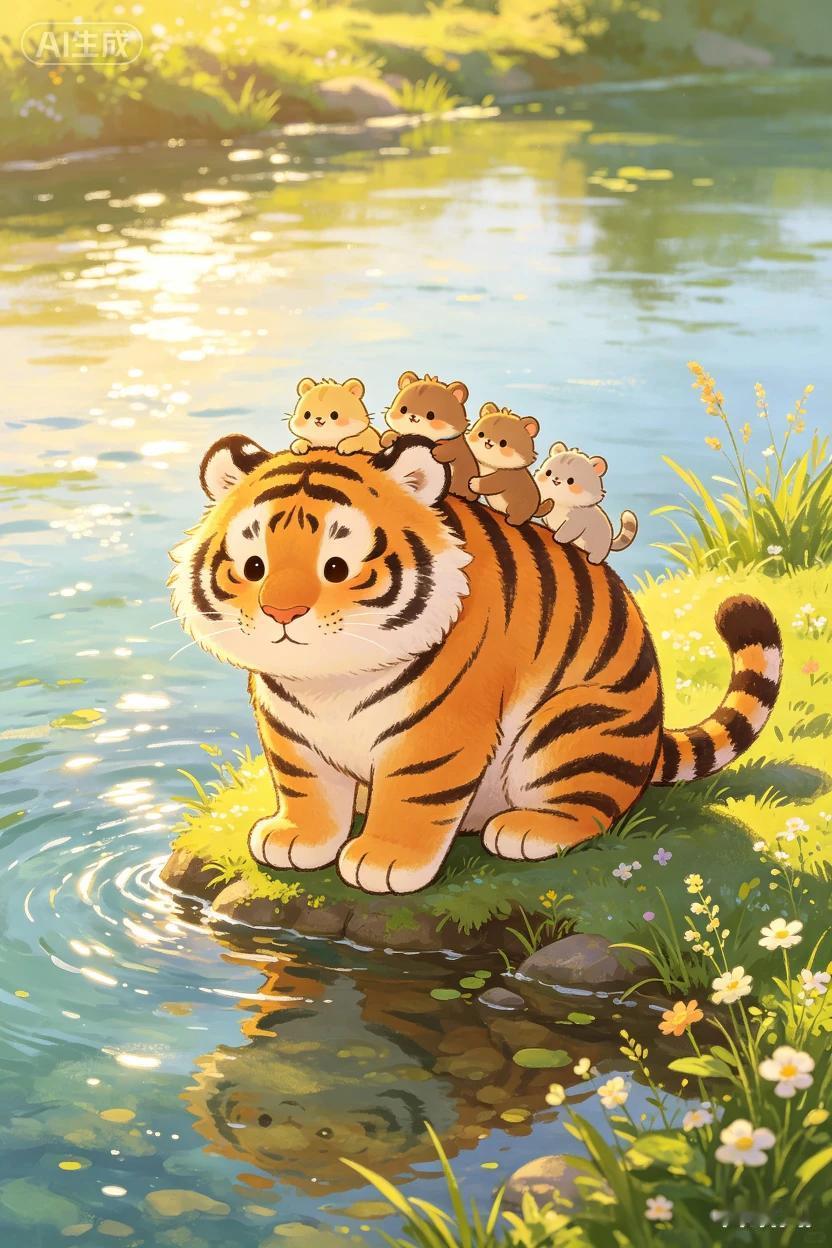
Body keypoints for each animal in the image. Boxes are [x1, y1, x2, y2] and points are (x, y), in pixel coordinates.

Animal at [169, 433, 782, 895]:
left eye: (337, 566)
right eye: (254, 565)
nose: (281, 611)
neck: (330, 679)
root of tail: (653, 736)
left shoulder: (438, 730)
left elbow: (414, 795)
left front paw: (386, 862)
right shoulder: (289, 728)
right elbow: (305, 784)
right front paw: (299, 839)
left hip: (572, 726)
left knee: (588, 808)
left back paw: (525, 829)